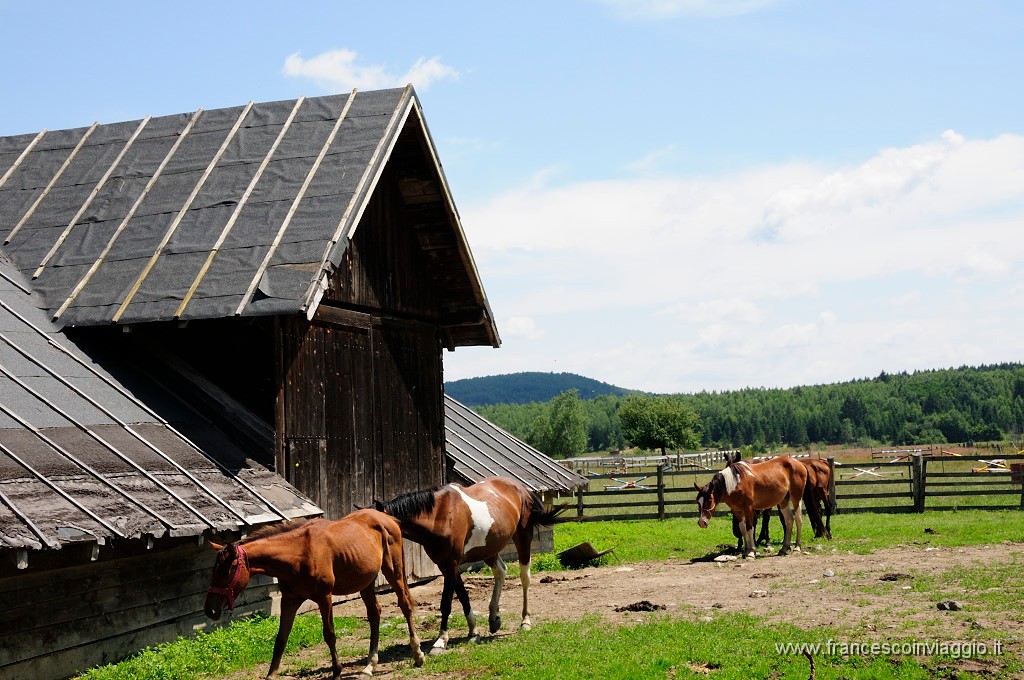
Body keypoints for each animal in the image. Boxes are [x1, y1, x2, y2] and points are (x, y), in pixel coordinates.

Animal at [203, 512, 423, 675]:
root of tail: (386, 518)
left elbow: (329, 635)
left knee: (405, 605)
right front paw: (271, 674)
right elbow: (281, 639)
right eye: (213, 571)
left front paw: (337, 671)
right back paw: (370, 665)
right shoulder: (289, 600)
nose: (209, 610)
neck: (298, 554)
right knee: (374, 614)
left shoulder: (324, 598)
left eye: (227, 571)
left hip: (393, 571)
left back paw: (418, 654)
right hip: (366, 581)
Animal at [374, 477, 569, 655]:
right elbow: (462, 596)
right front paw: (473, 632)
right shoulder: (446, 565)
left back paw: (525, 621)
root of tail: (521, 489)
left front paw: (441, 641)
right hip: (489, 549)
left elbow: (446, 602)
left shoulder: (451, 565)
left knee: (525, 578)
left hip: (522, 538)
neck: (439, 515)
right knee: (501, 571)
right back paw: (494, 618)